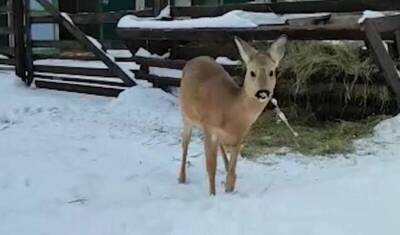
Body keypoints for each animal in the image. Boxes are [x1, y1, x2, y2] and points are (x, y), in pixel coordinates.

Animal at [179, 35, 288, 195]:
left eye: (271, 72)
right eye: (252, 72)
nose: (263, 92)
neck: (231, 110)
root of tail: (195, 59)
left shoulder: (239, 136)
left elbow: (232, 169)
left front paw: (229, 188)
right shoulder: (208, 126)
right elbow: (211, 167)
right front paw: (212, 194)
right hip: (185, 115)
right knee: (185, 143)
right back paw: (181, 178)